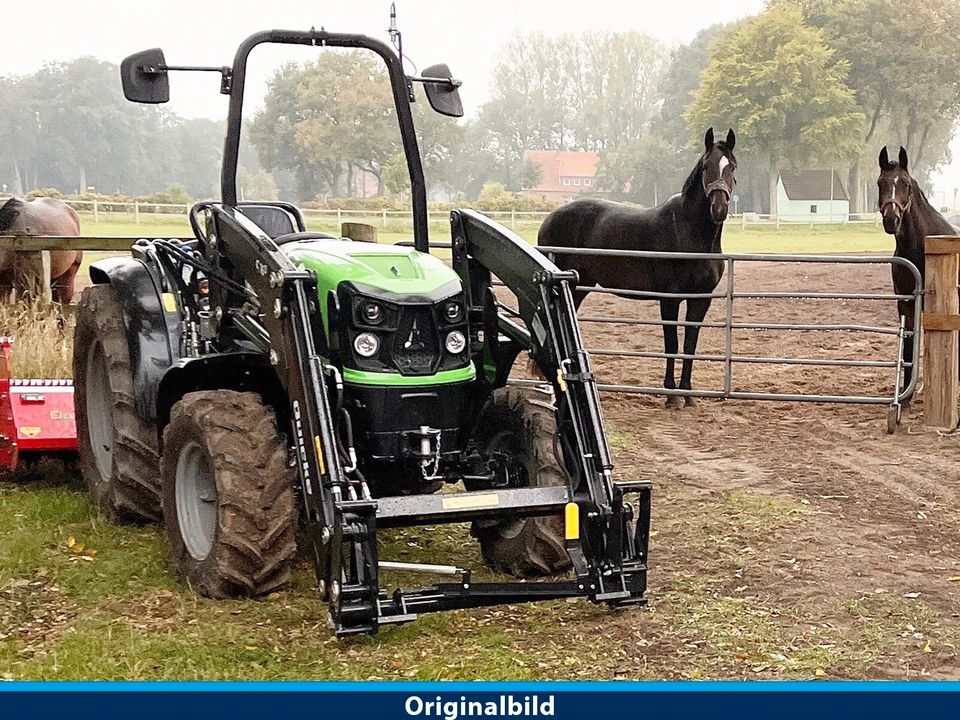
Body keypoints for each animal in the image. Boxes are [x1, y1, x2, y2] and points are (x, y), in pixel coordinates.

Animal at [540, 128, 736, 404]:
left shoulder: (701, 298)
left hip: (579, 286)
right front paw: (671, 395)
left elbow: (690, 344)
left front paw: (688, 394)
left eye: (732, 166)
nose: (719, 208)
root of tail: (549, 218)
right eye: (706, 166)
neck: (690, 233)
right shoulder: (670, 297)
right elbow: (671, 344)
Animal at [876, 143, 952, 396]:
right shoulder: (906, 302)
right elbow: (909, 344)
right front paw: (906, 395)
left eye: (906, 184)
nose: (892, 220)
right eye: (880, 183)